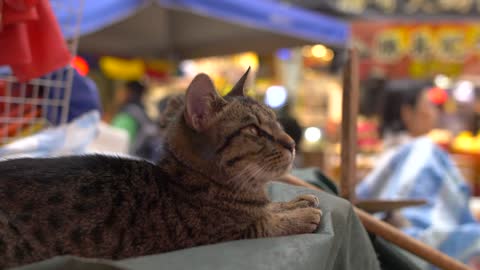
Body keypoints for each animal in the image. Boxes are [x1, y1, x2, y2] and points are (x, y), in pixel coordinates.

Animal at [0, 69, 322, 268]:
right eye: (254, 130)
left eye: (276, 122)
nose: (293, 143)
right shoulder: (226, 235)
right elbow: (267, 223)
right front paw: (300, 215)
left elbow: (271, 208)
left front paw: (297, 202)